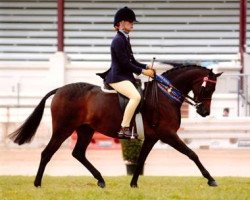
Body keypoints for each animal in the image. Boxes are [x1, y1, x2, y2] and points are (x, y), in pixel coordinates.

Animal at [8, 63, 222, 188]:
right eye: (208, 88)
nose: (205, 112)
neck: (165, 95)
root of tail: (60, 89)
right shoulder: (167, 134)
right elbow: (192, 154)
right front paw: (211, 179)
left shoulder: (152, 137)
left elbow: (141, 160)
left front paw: (133, 184)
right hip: (63, 129)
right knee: (47, 153)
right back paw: (37, 184)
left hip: (85, 130)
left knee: (78, 153)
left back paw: (101, 180)